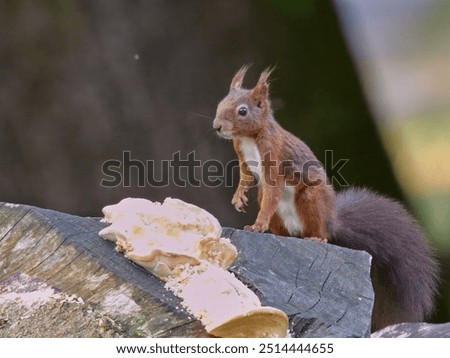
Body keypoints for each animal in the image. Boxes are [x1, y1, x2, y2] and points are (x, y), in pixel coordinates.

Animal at [214, 65, 440, 332]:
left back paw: (317, 237)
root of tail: (332, 223)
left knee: (317, 229)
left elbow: (272, 192)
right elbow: (246, 177)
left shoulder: (275, 159)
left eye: (243, 111)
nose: (217, 126)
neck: (250, 138)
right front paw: (239, 199)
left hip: (311, 200)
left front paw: (258, 224)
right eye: (221, 103)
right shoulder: (242, 157)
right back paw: (281, 235)